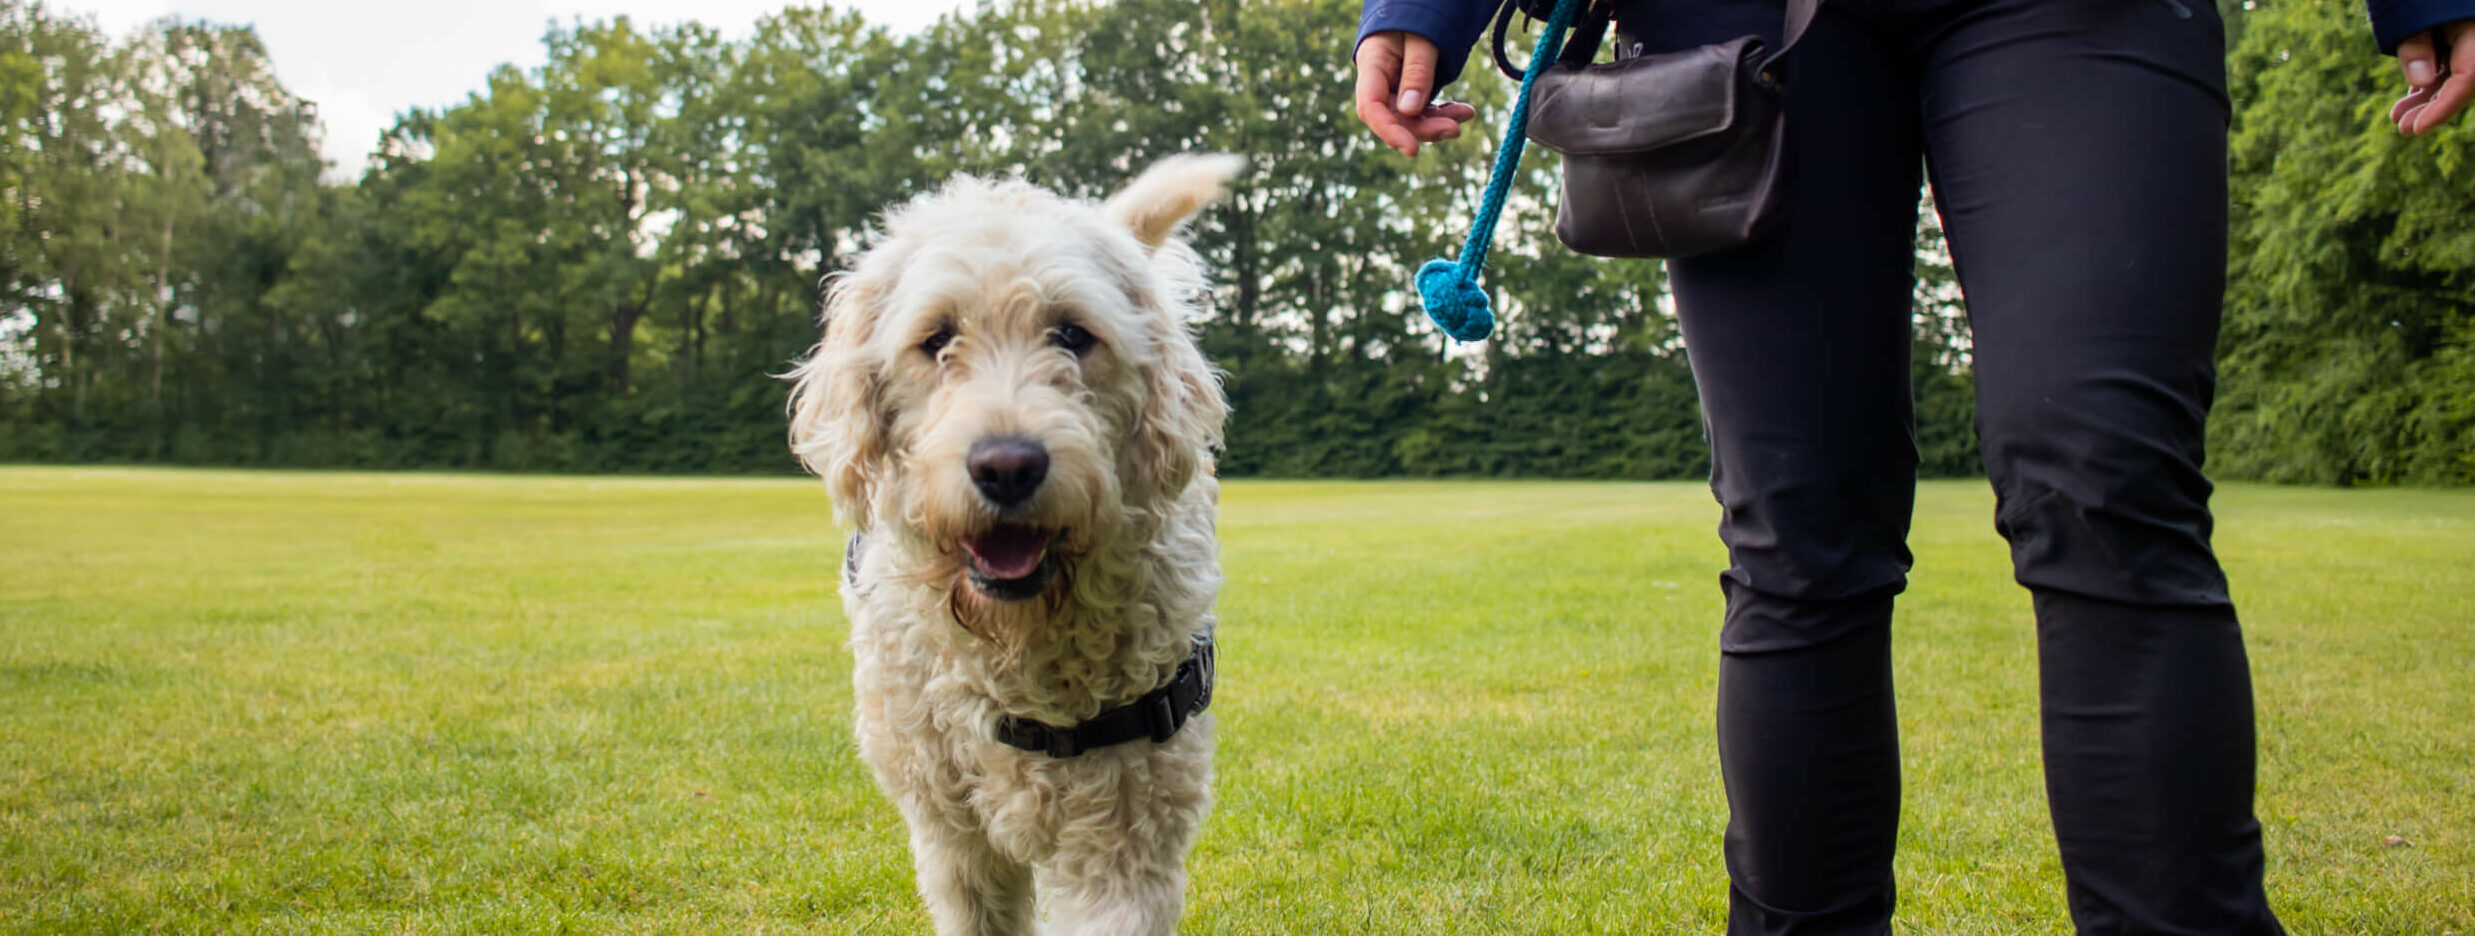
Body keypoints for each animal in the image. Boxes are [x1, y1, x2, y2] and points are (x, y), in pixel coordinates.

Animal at [787, 155, 1237, 936]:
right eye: (937, 338)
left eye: (1072, 334)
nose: (1006, 467)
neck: (1019, 641)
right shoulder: (953, 837)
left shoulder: (1123, 835)